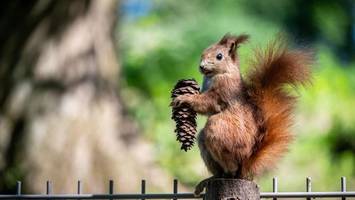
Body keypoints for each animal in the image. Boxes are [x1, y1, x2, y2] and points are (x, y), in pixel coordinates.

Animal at [173, 34, 314, 194]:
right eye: (204, 51)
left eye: (219, 56)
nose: (201, 66)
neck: (221, 73)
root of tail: (245, 168)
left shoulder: (223, 91)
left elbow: (208, 103)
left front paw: (184, 98)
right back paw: (209, 179)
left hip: (218, 130)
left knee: (231, 168)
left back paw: (228, 174)